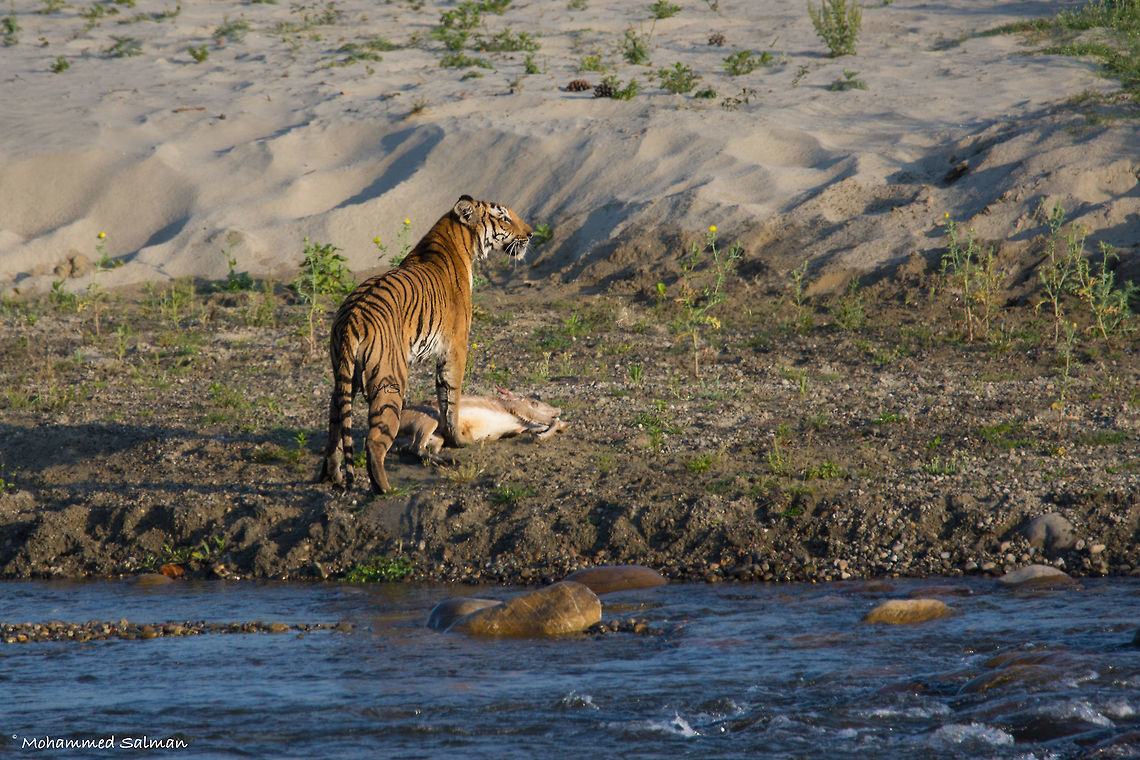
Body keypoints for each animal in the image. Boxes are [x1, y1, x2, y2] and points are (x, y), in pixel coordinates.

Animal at [318, 195, 534, 493]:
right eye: (504, 218)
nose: (531, 234)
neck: (457, 240)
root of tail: (353, 315)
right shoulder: (456, 348)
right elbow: (451, 397)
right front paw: (457, 440)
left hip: (344, 377)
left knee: (335, 425)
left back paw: (332, 476)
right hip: (390, 380)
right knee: (373, 441)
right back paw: (384, 489)